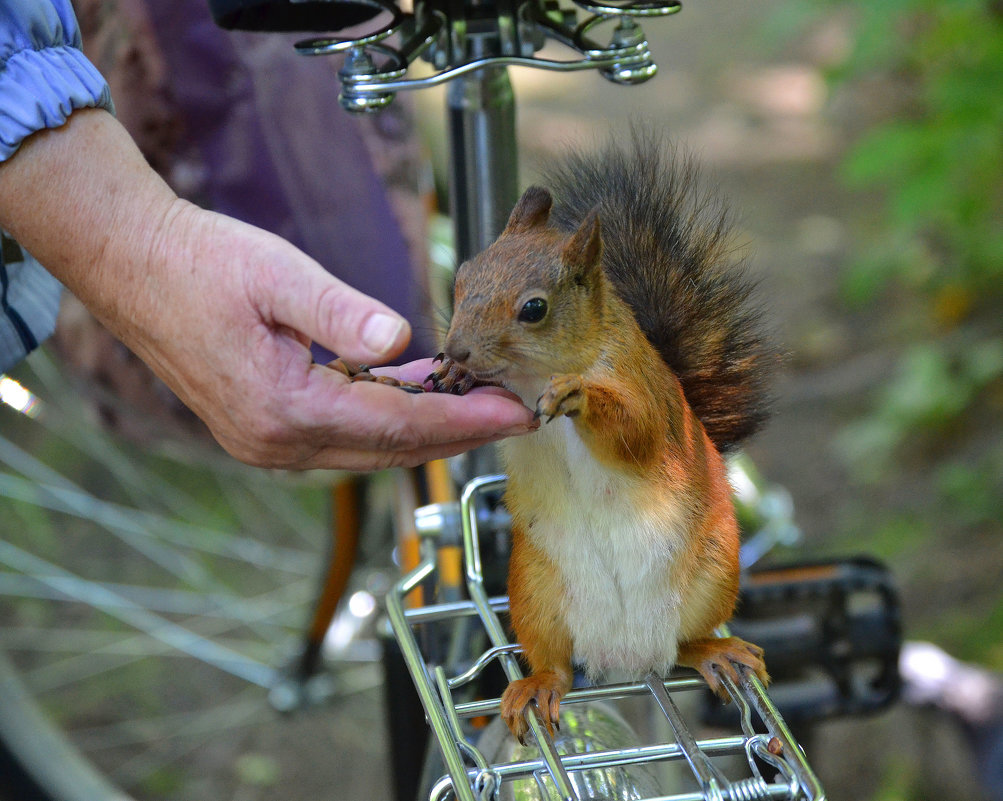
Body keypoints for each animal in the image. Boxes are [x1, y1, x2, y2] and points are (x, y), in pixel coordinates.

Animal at [427, 128, 770, 741]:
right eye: (462, 276)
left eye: (534, 309)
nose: (457, 349)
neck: (539, 374)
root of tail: (628, 660)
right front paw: (456, 377)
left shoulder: (643, 393)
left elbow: (636, 436)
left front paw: (577, 396)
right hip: (535, 596)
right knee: (556, 666)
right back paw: (538, 684)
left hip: (712, 576)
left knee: (688, 644)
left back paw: (717, 651)